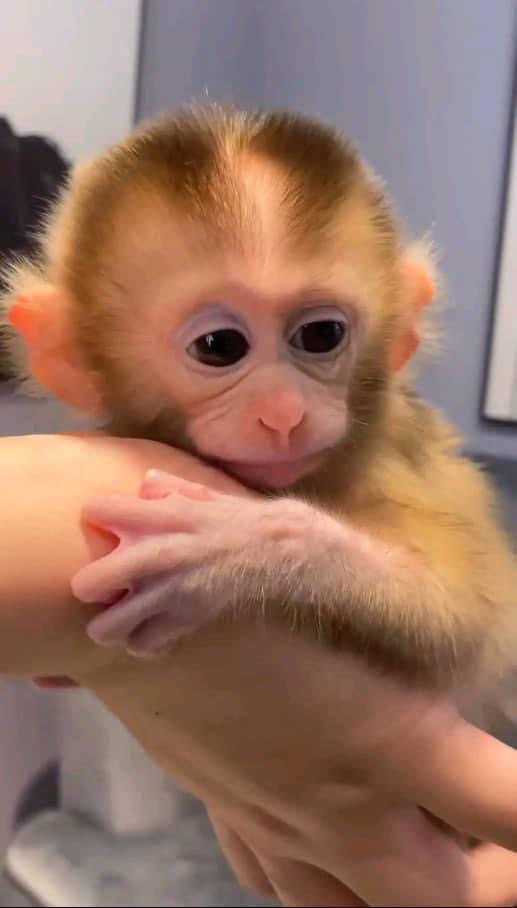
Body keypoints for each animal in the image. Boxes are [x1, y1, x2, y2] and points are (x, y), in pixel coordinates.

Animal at [1, 104, 515, 713]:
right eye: (219, 346)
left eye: (321, 336)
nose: (284, 412)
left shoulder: (394, 452)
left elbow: (466, 623)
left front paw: (237, 548)